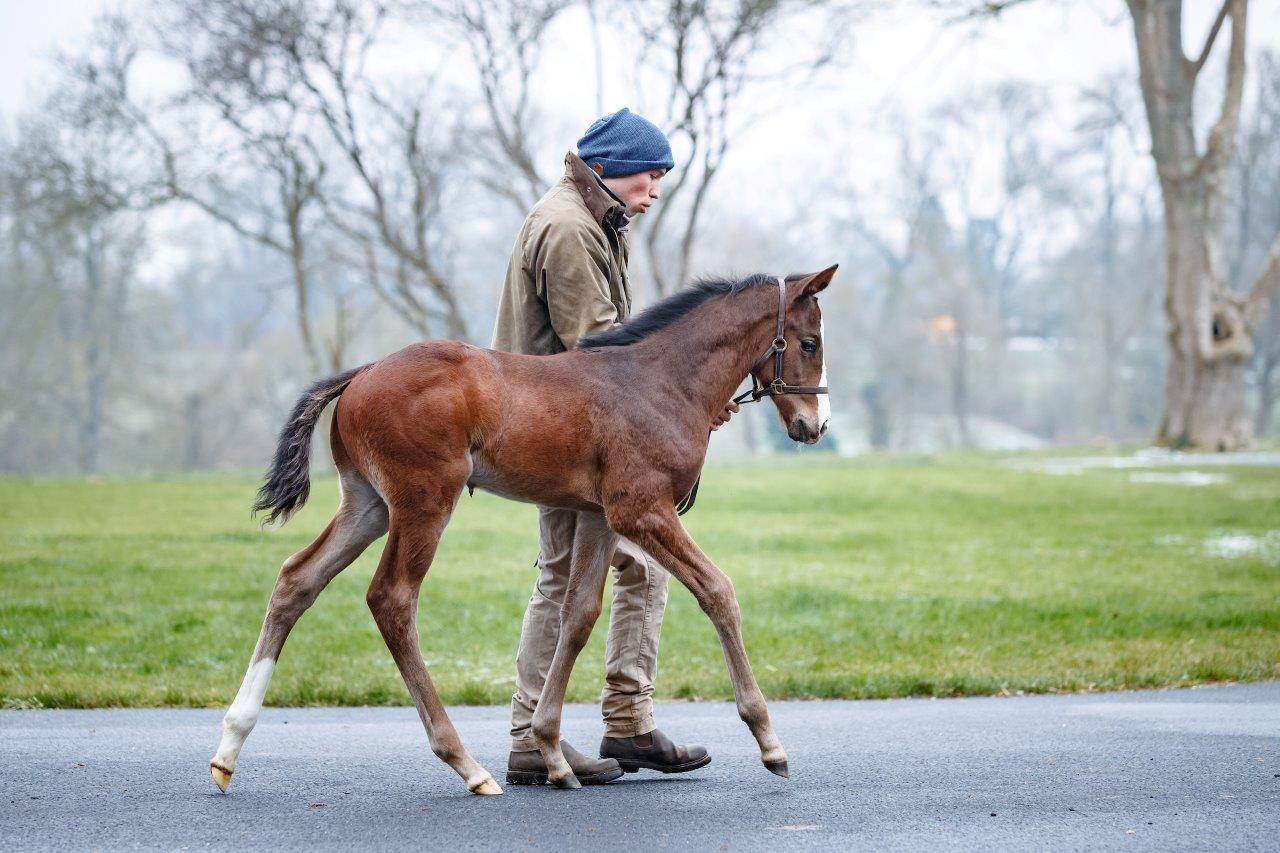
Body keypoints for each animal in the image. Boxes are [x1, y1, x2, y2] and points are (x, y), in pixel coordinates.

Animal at [209, 263, 839, 788]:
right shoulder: (641, 509)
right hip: (423, 501)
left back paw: (230, 745)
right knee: (392, 599)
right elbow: (718, 592)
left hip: (369, 504)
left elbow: (578, 616)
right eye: (808, 343)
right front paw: (770, 742)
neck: (658, 381)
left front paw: (554, 753)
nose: (816, 425)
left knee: (297, 579)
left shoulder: (599, 517)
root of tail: (361, 374)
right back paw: (466, 764)